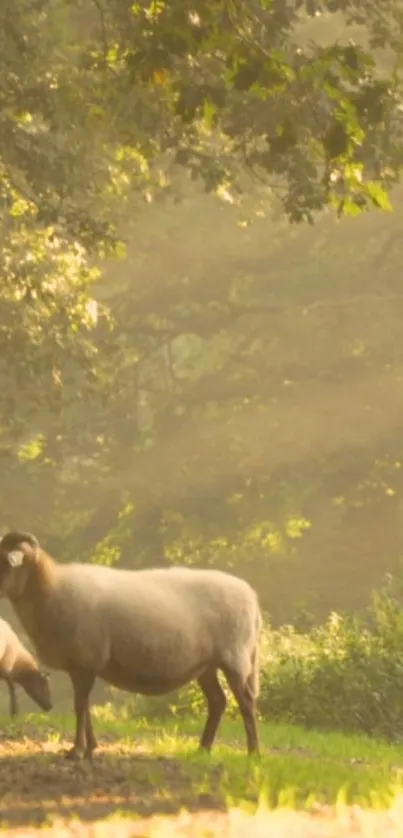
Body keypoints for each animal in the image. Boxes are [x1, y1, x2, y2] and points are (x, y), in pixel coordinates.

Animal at [0, 532, 262, 760]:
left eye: (3, 562)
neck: (50, 588)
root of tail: (251, 596)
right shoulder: (83, 665)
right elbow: (84, 706)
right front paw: (90, 747)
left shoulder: (85, 660)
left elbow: (80, 706)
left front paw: (77, 751)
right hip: (206, 665)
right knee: (218, 702)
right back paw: (203, 749)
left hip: (235, 657)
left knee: (246, 702)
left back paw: (253, 753)